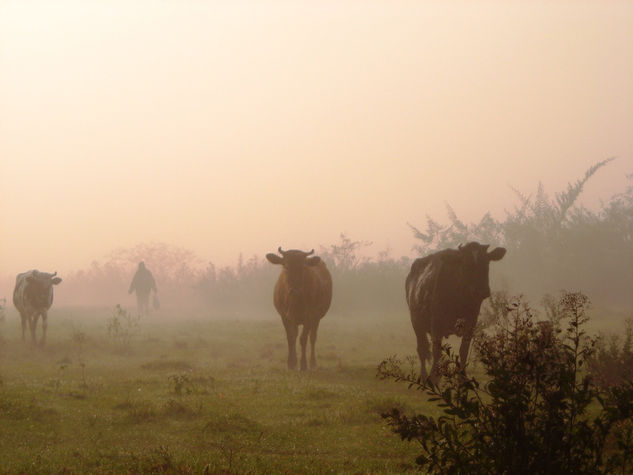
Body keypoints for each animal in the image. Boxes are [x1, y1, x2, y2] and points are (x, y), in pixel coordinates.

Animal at [408, 244, 506, 382]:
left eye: (486, 262)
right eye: (466, 265)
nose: (482, 290)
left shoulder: (471, 322)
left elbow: (463, 350)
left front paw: (462, 378)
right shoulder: (436, 322)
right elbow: (436, 350)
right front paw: (433, 378)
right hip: (416, 323)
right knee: (422, 349)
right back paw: (424, 377)